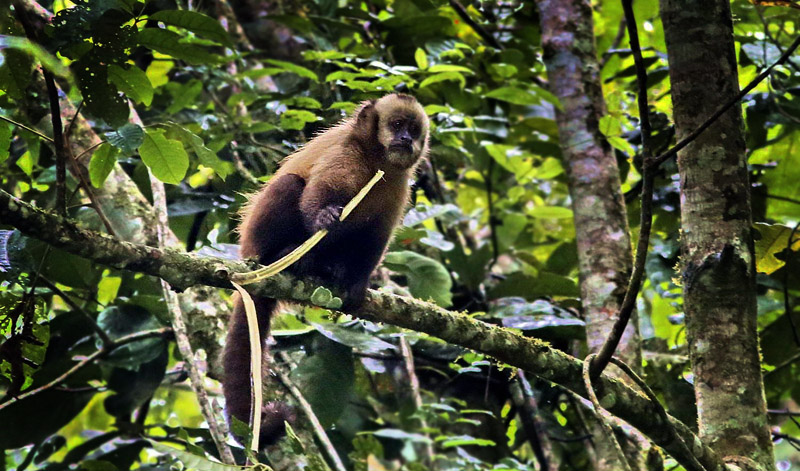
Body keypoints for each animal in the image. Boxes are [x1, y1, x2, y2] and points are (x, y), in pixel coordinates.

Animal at [219, 92, 432, 446]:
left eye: (413, 130)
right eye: (397, 124)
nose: (405, 139)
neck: (376, 160)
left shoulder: (399, 183)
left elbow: (375, 238)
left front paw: (357, 283)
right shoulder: (346, 154)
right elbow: (316, 197)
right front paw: (323, 217)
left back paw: (324, 269)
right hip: (255, 242)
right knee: (290, 184)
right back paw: (284, 258)